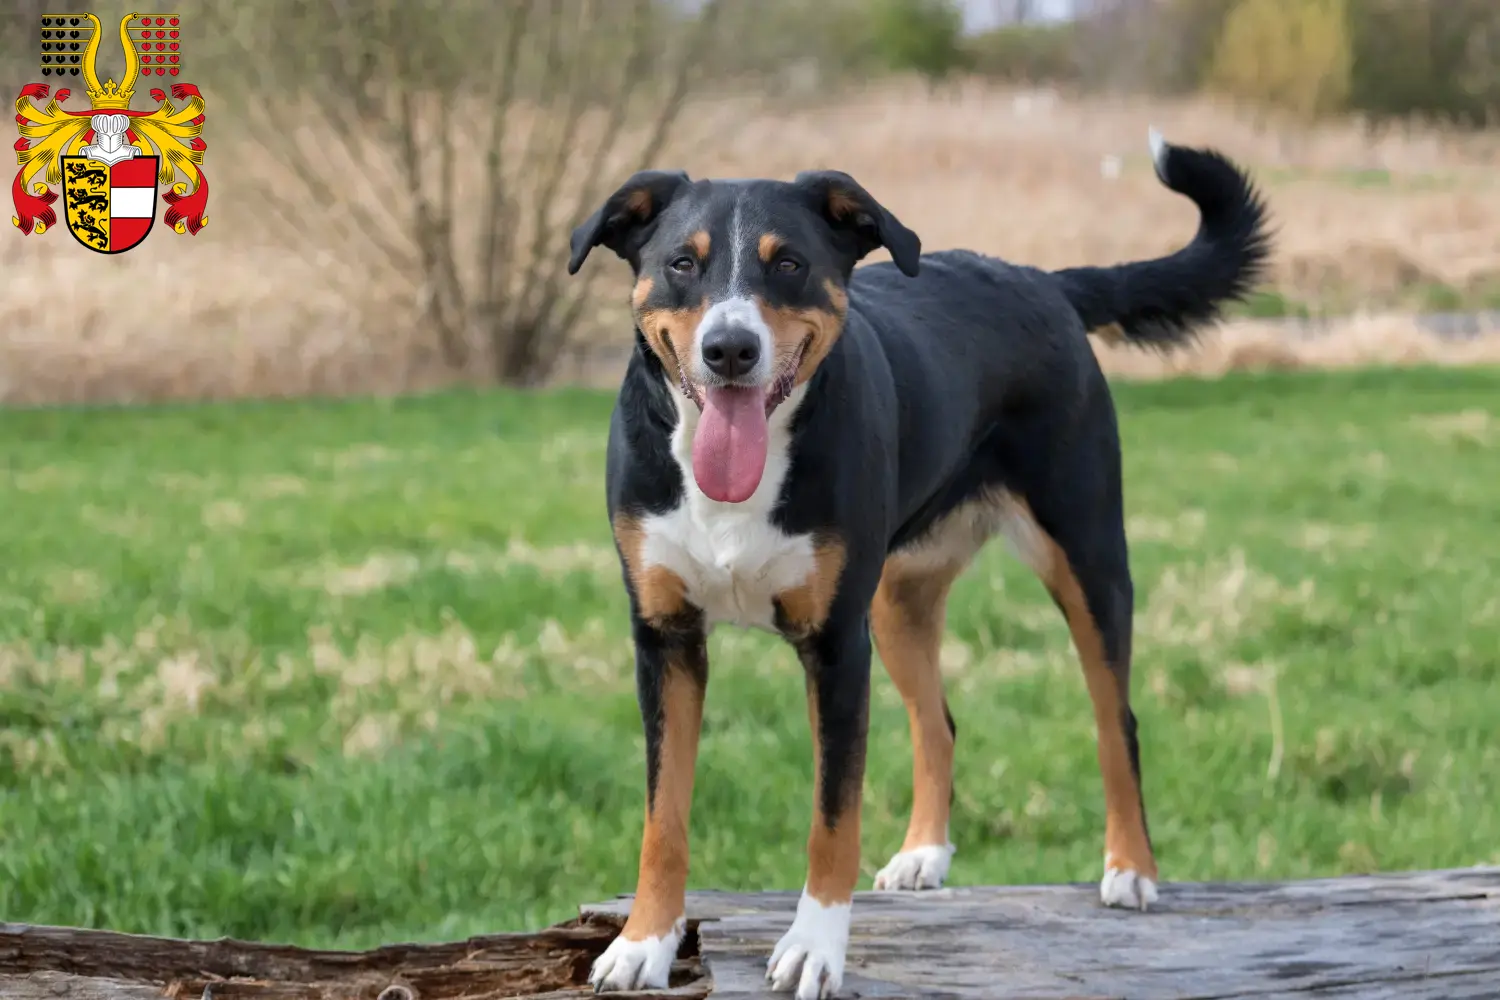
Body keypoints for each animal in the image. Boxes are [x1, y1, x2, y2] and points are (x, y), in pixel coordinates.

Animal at [567, 132, 1272, 1000]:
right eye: (681, 263)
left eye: (789, 262)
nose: (729, 348)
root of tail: (1042, 281)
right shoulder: (664, 638)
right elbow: (663, 816)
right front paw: (645, 942)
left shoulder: (836, 647)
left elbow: (832, 817)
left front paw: (814, 948)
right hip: (897, 601)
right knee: (938, 722)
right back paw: (923, 855)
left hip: (1088, 556)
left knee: (1117, 721)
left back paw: (1130, 869)